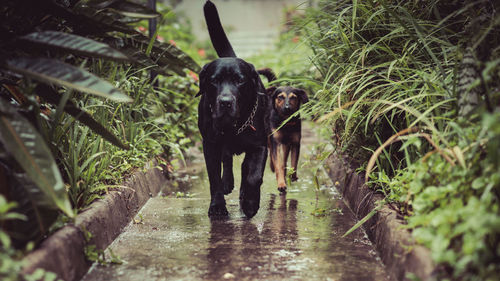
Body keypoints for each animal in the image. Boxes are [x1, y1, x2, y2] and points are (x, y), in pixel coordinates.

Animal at [197, 1, 272, 218]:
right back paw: (228, 184)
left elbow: (253, 176)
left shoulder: (260, 145)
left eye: (240, 80)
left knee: (244, 168)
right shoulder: (210, 144)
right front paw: (217, 206)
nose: (225, 102)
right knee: (227, 160)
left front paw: (250, 203)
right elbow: (214, 178)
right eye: (214, 81)